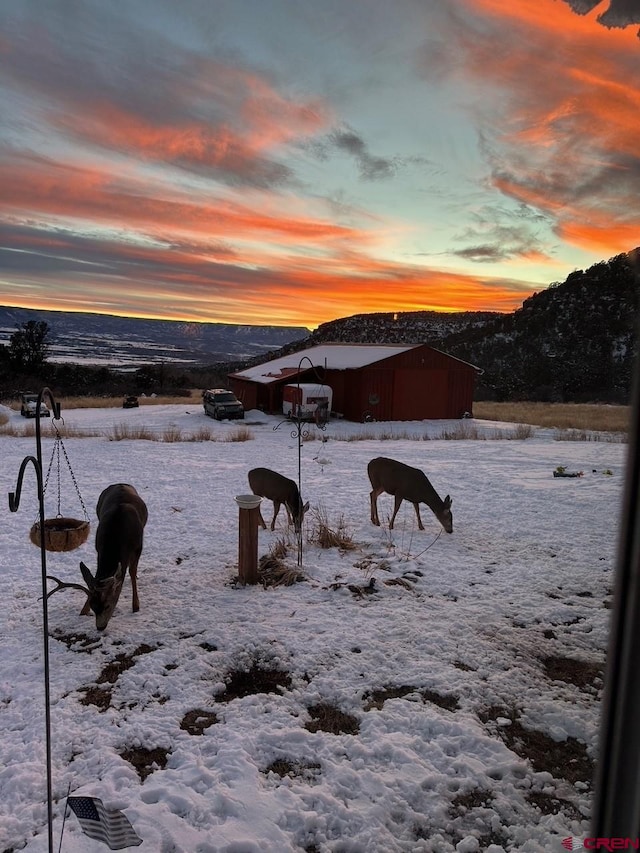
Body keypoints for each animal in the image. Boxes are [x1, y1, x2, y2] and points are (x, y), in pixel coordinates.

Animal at [47, 482, 149, 628]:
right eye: (93, 606)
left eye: (108, 605)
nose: (100, 627)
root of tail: (121, 483)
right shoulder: (98, 548)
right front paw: (83, 610)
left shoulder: (138, 547)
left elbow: (132, 572)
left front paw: (136, 606)